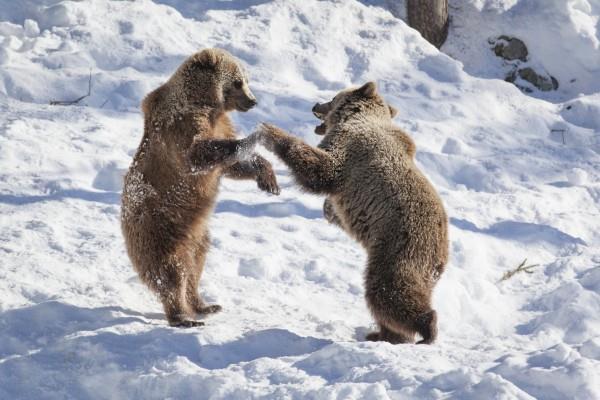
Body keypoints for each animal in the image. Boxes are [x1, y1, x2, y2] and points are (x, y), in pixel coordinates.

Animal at [123, 47, 282, 328]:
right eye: (238, 81)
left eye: (246, 79)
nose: (253, 101)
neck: (206, 102)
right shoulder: (182, 124)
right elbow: (198, 153)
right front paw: (260, 135)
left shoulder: (219, 123)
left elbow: (229, 164)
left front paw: (267, 178)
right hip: (159, 230)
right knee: (171, 272)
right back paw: (183, 317)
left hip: (196, 235)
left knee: (195, 267)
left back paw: (204, 304)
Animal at [251, 82, 448, 344]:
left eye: (333, 97)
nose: (315, 104)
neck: (356, 118)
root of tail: (442, 253)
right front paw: (330, 211)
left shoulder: (350, 150)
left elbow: (320, 168)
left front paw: (267, 130)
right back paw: (384, 334)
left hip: (400, 246)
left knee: (387, 291)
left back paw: (425, 329)